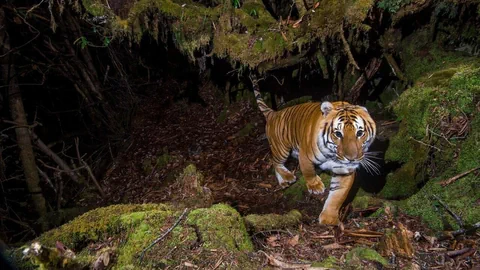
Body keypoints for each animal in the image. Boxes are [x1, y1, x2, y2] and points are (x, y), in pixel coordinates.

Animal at [249, 75, 376, 225]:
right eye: (338, 134)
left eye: (360, 133)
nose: (352, 158)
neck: (332, 154)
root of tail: (274, 113)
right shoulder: (305, 155)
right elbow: (308, 171)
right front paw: (316, 187)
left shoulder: (344, 170)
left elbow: (338, 195)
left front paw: (329, 218)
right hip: (282, 149)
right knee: (275, 161)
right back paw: (287, 177)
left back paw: (283, 181)